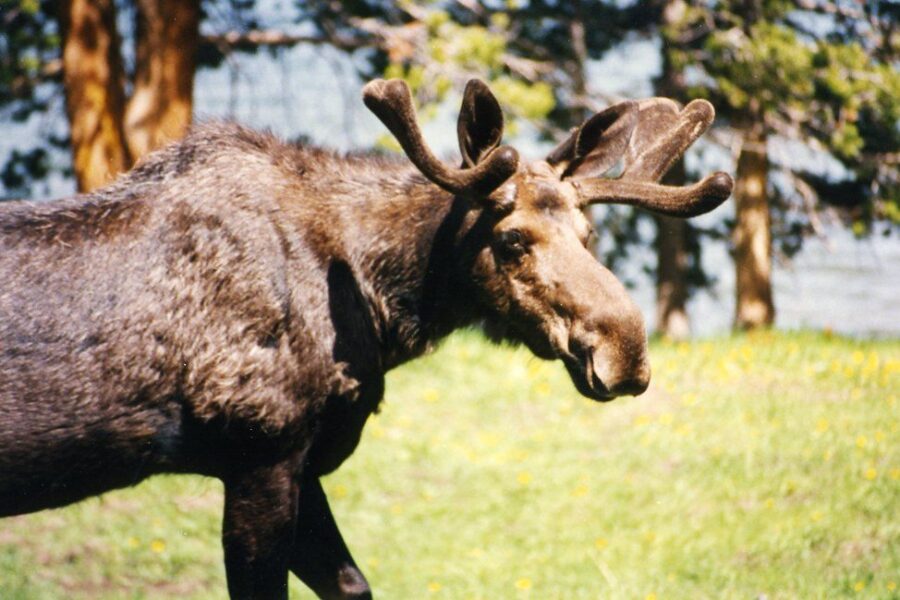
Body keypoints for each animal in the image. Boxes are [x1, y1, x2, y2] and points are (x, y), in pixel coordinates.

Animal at [0, 78, 732, 599]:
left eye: (588, 235)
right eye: (512, 240)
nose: (627, 352)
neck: (381, 313)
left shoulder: (301, 462)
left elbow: (355, 586)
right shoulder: (259, 451)